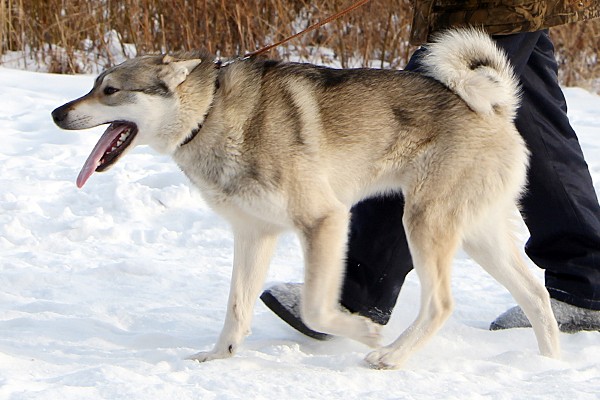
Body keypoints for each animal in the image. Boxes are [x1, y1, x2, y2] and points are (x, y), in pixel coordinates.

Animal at [52, 28, 560, 369]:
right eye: (94, 85)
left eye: (110, 90)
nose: (57, 113)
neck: (210, 113)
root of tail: (495, 109)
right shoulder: (253, 234)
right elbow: (236, 307)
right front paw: (219, 357)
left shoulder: (324, 220)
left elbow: (317, 306)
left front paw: (363, 332)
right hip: (477, 234)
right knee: (536, 295)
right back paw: (548, 363)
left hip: (424, 223)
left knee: (441, 305)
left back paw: (391, 356)